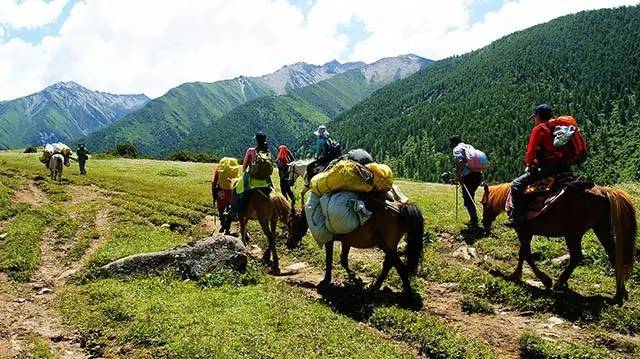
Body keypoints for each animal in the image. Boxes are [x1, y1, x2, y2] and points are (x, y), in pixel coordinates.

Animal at [286, 198, 424, 296]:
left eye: (292, 223)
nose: (288, 244)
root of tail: (401, 207)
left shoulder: (330, 240)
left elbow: (329, 260)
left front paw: (326, 280)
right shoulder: (346, 242)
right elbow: (343, 260)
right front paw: (354, 277)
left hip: (386, 246)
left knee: (399, 267)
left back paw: (406, 293)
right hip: (390, 247)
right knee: (389, 265)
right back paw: (377, 287)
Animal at [482, 183, 636, 304]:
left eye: (483, 203)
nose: (484, 224)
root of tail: (604, 191)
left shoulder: (523, 232)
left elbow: (525, 254)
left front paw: (542, 279)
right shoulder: (526, 233)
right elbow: (524, 254)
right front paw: (517, 274)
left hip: (573, 234)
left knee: (576, 257)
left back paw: (560, 282)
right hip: (600, 229)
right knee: (613, 256)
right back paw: (619, 292)